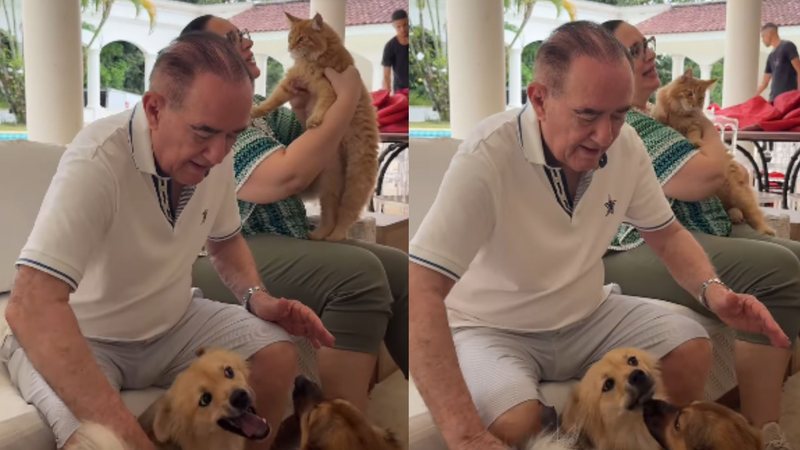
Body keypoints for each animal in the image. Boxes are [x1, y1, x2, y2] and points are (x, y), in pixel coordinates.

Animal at [256, 12, 382, 241]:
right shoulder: (291, 83)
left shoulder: (327, 90)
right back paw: (319, 234)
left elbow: (322, 106)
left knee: (346, 216)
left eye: (301, 39)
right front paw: (254, 111)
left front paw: (314, 120)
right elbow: (271, 101)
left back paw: (335, 236)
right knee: (330, 215)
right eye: (290, 37)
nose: (290, 47)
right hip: (330, 183)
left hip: (355, 182)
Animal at [648, 69, 776, 236]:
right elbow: (659, 116)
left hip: (740, 195)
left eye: (701, 98)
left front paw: (696, 142)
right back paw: (736, 215)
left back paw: (766, 230)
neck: (679, 113)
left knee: (756, 217)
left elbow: (693, 134)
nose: (694, 105)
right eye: (689, 93)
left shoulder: (695, 126)